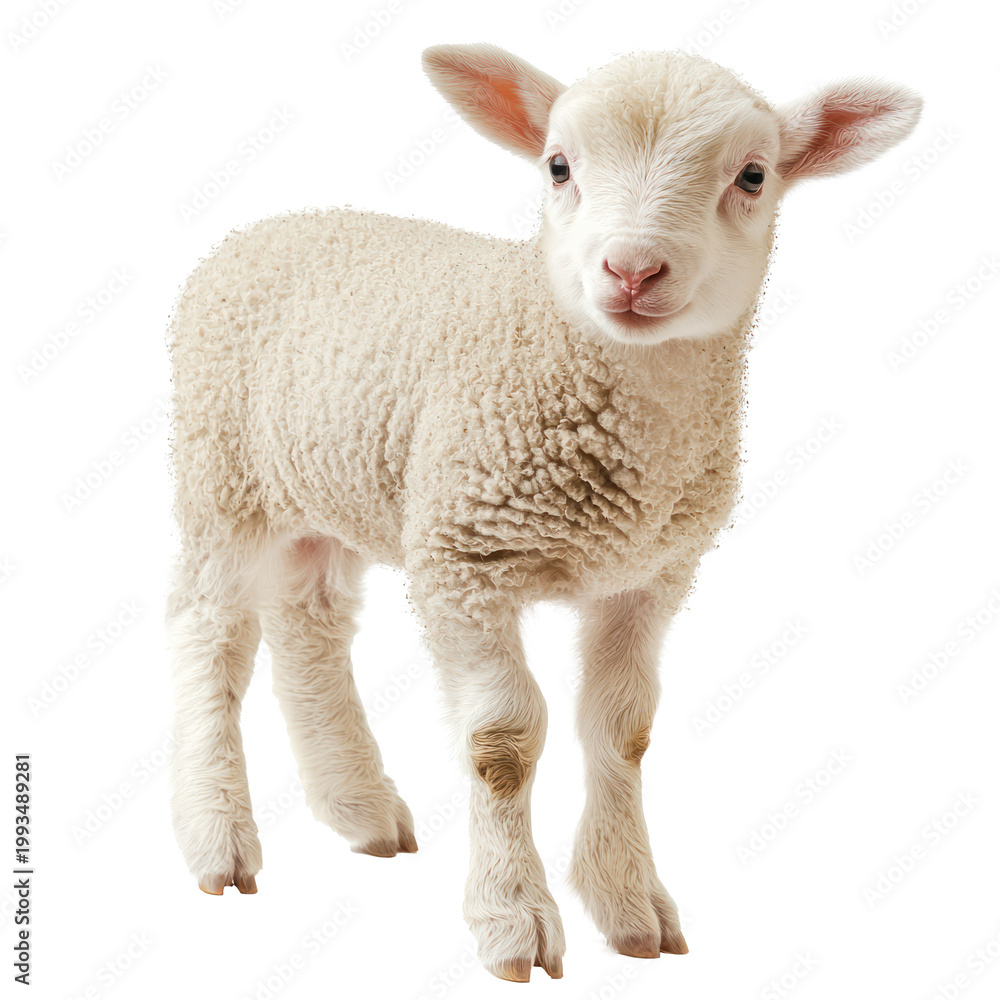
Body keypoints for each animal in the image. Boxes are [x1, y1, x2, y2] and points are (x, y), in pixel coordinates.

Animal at [166, 42, 921, 981]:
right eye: (559, 167)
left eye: (752, 175)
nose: (632, 271)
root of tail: (271, 226)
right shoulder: (463, 560)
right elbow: (502, 746)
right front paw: (513, 919)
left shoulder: (651, 575)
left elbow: (624, 730)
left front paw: (630, 906)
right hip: (220, 474)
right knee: (212, 637)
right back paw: (218, 836)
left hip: (329, 484)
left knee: (308, 624)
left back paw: (360, 809)